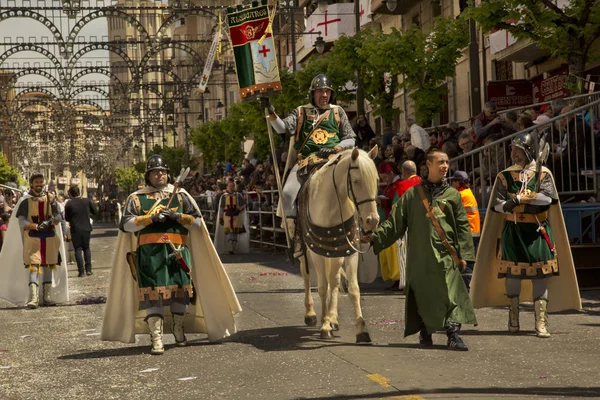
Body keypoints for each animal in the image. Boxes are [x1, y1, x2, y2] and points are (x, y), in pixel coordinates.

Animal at [296, 147, 380, 344]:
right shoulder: (317, 252)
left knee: (333, 281)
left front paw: (361, 330)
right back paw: (312, 314)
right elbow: (322, 287)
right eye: (356, 181)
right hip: (306, 252)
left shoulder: (348, 251)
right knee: (307, 276)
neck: (332, 205)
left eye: (377, 180)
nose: (372, 221)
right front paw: (324, 325)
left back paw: (332, 318)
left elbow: (353, 289)